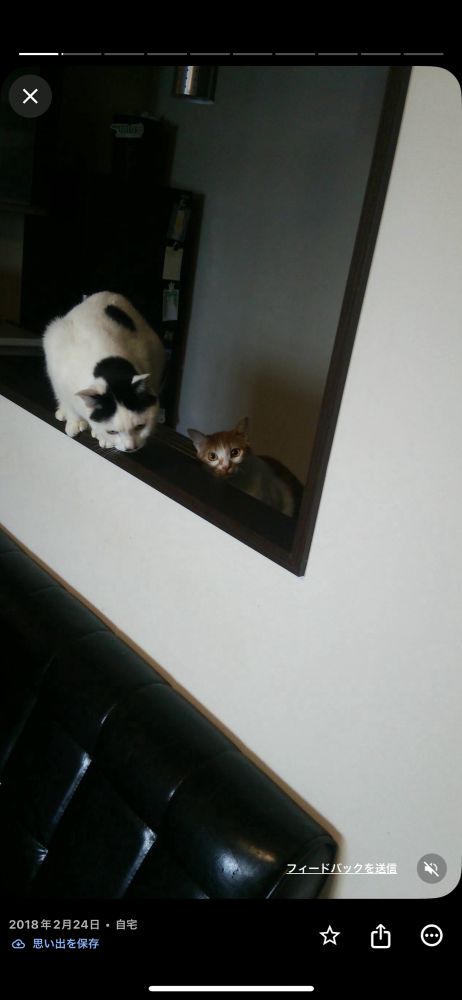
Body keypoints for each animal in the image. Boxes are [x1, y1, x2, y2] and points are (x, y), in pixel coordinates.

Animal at [43, 291, 165, 453]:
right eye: (112, 431)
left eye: (140, 426)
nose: (131, 448)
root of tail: (110, 293)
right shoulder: (59, 376)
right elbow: (68, 403)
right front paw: (75, 422)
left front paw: (103, 438)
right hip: (54, 332)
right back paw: (63, 412)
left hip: (156, 354)